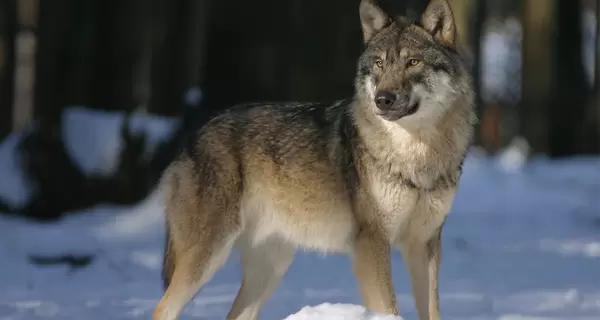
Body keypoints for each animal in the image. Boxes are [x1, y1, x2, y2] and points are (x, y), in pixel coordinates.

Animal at [152, 0, 476, 318]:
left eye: (413, 62)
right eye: (380, 64)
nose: (382, 99)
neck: (416, 155)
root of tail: (192, 136)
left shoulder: (425, 245)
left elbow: (432, 311)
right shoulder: (372, 244)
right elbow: (389, 309)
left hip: (270, 268)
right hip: (208, 257)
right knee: (162, 308)